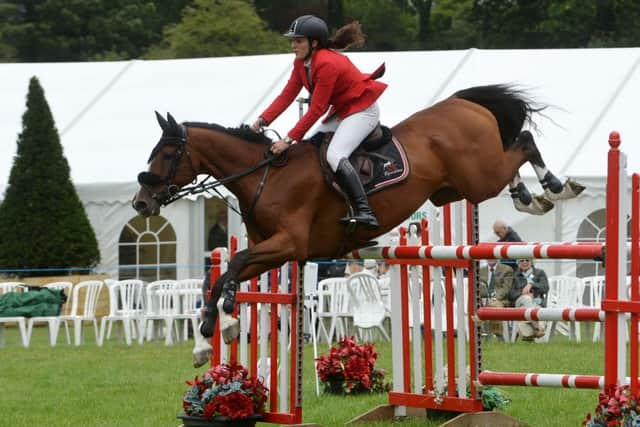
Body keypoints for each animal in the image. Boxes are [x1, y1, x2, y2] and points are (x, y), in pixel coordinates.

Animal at [134, 83, 584, 362]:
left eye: (166, 154)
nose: (141, 203)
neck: (265, 176)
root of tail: (462, 102)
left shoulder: (288, 245)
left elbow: (233, 266)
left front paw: (217, 326)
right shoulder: (274, 251)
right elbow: (225, 275)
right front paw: (214, 334)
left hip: (478, 175)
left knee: (523, 141)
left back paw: (555, 189)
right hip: (452, 189)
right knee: (513, 155)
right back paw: (530, 196)